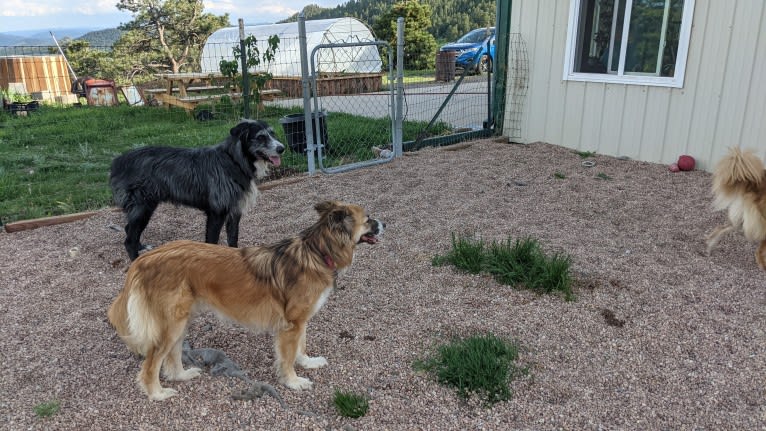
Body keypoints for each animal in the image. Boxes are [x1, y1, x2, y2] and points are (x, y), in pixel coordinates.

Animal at [108, 202, 384, 402]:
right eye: (368, 218)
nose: (384, 224)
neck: (317, 252)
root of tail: (144, 259)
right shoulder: (292, 324)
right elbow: (287, 357)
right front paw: (293, 382)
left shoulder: (300, 320)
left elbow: (301, 347)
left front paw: (307, 362)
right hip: (170, 325)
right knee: (151, 364)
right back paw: (157, 394)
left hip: (180, 321)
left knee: (171, 355)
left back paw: (182, 376)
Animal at [109, 119, 286, 260]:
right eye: (261, 137)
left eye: (272, 134)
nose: (282, 148)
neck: (234, 160)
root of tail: (118, 161)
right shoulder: (216, 213)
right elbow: (212, 242)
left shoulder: (234, 212)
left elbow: (233, 240)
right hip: (142, 207)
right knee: (129, 240)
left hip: (144, 208)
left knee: (129, 230)